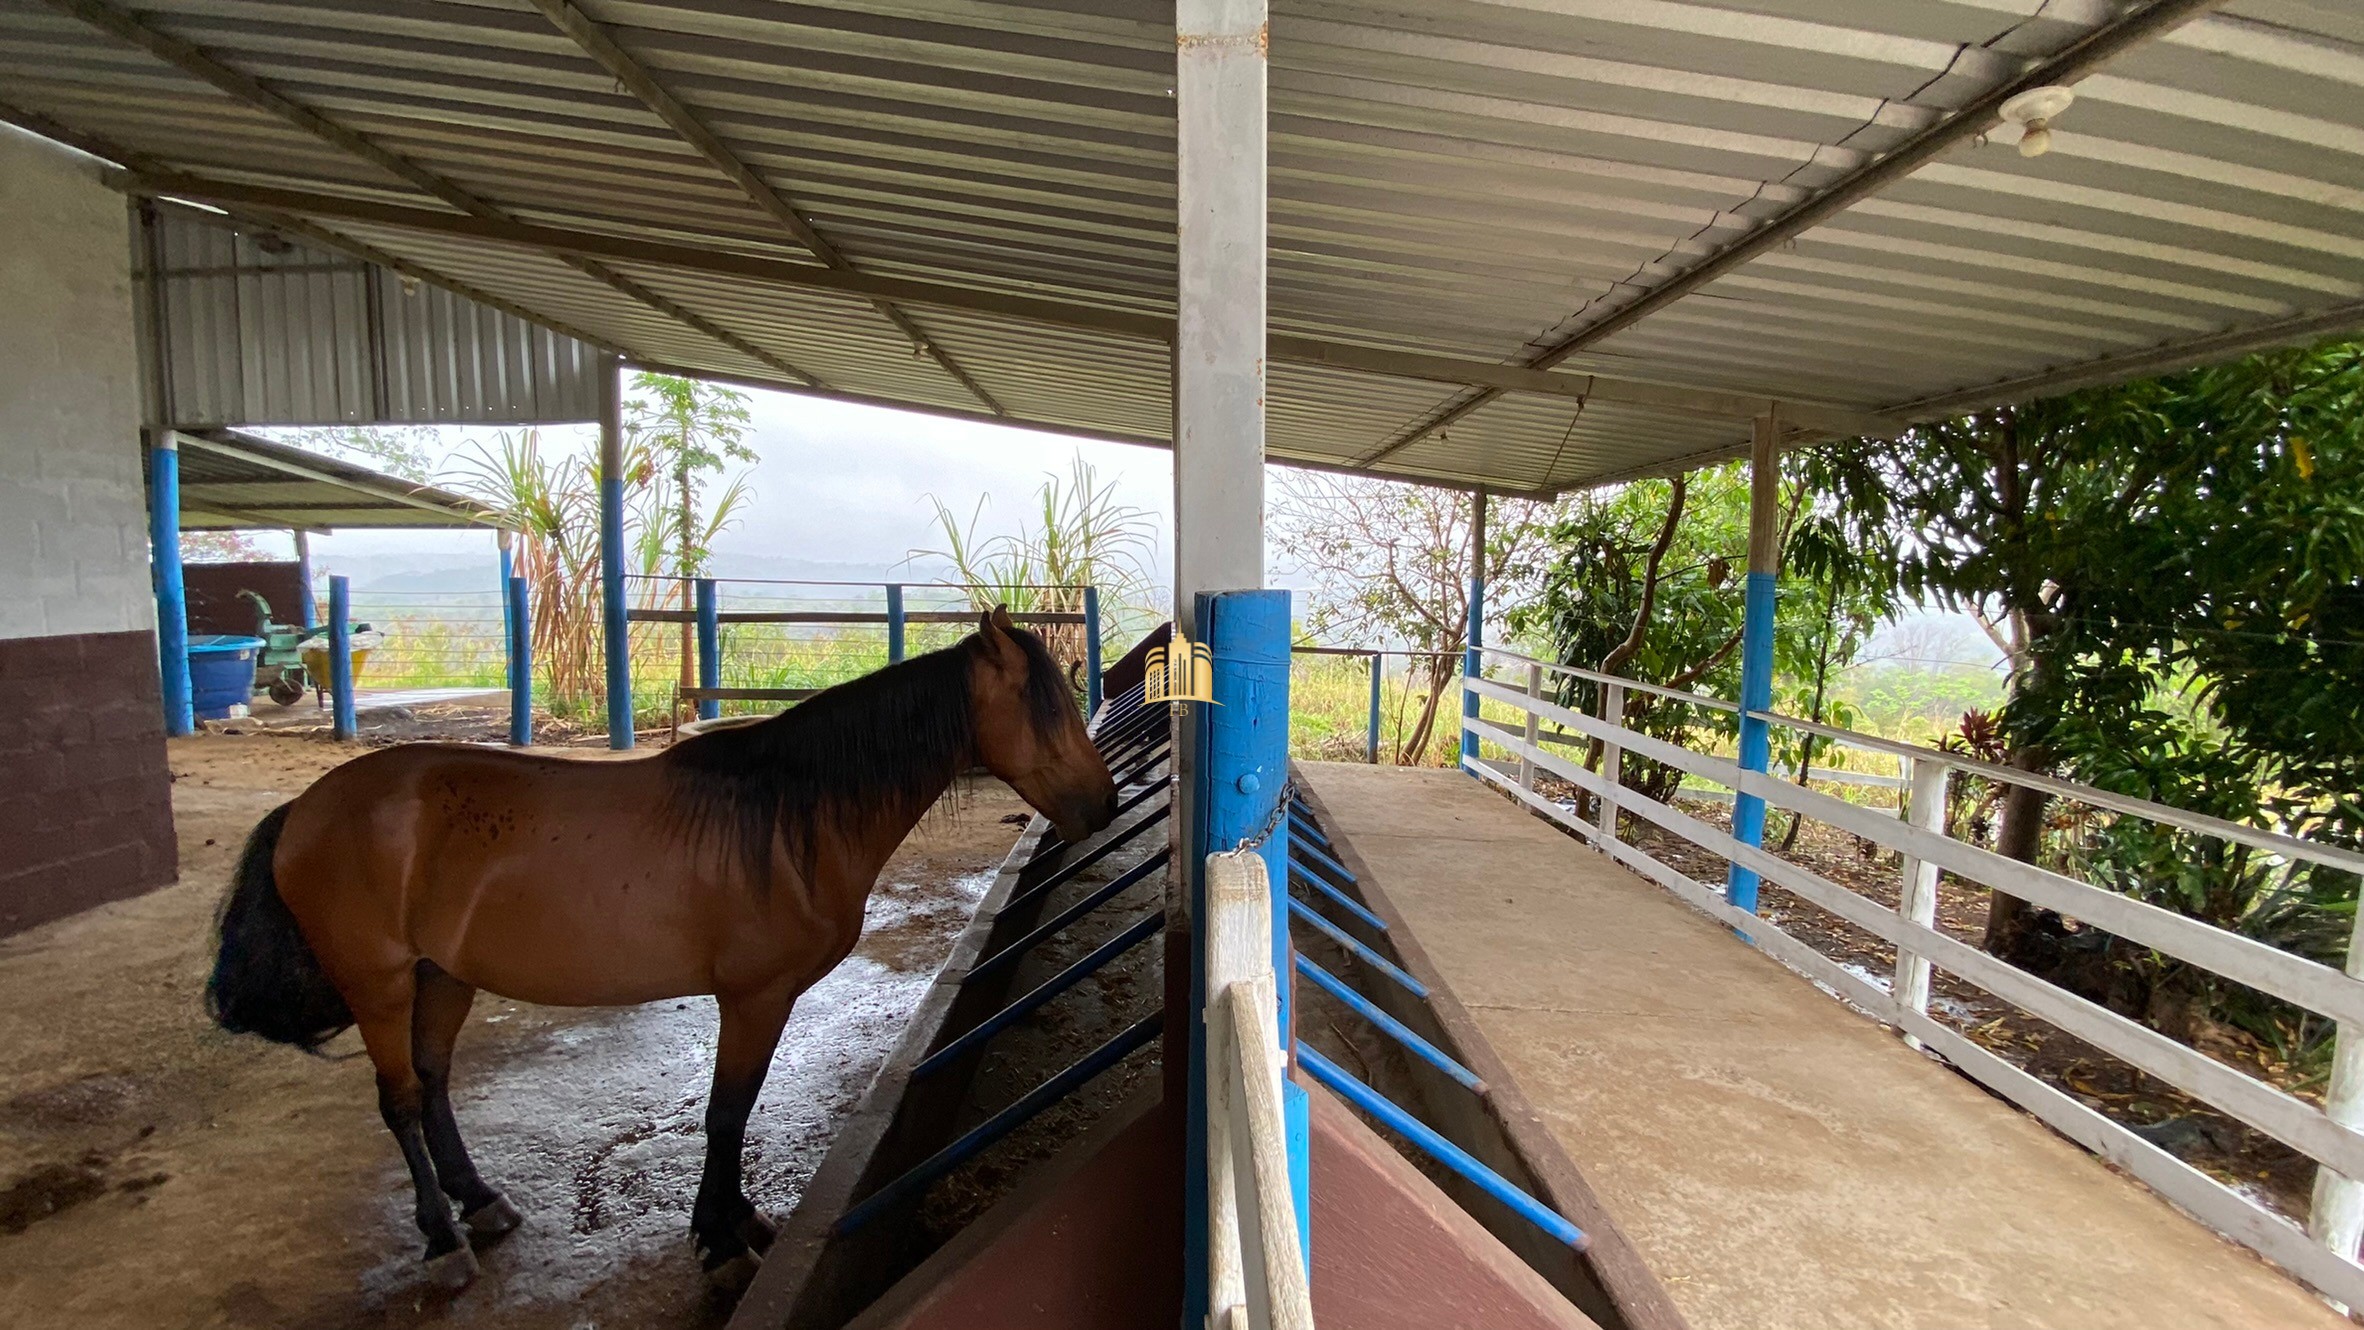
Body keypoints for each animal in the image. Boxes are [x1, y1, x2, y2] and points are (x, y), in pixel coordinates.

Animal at [205, 609, 1115, 1294]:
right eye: (1047, 710)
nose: (1102, 805)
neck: (788, 819)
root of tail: (307, 808)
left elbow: (735, 1111)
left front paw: (733, 1219)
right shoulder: (754, 997)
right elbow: (728, 1111)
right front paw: (722, 1236)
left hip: (444, 975)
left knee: (431, 1083)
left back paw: (481, 1201)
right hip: (380, 983)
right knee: (397, 1101)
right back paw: (442, 1239)